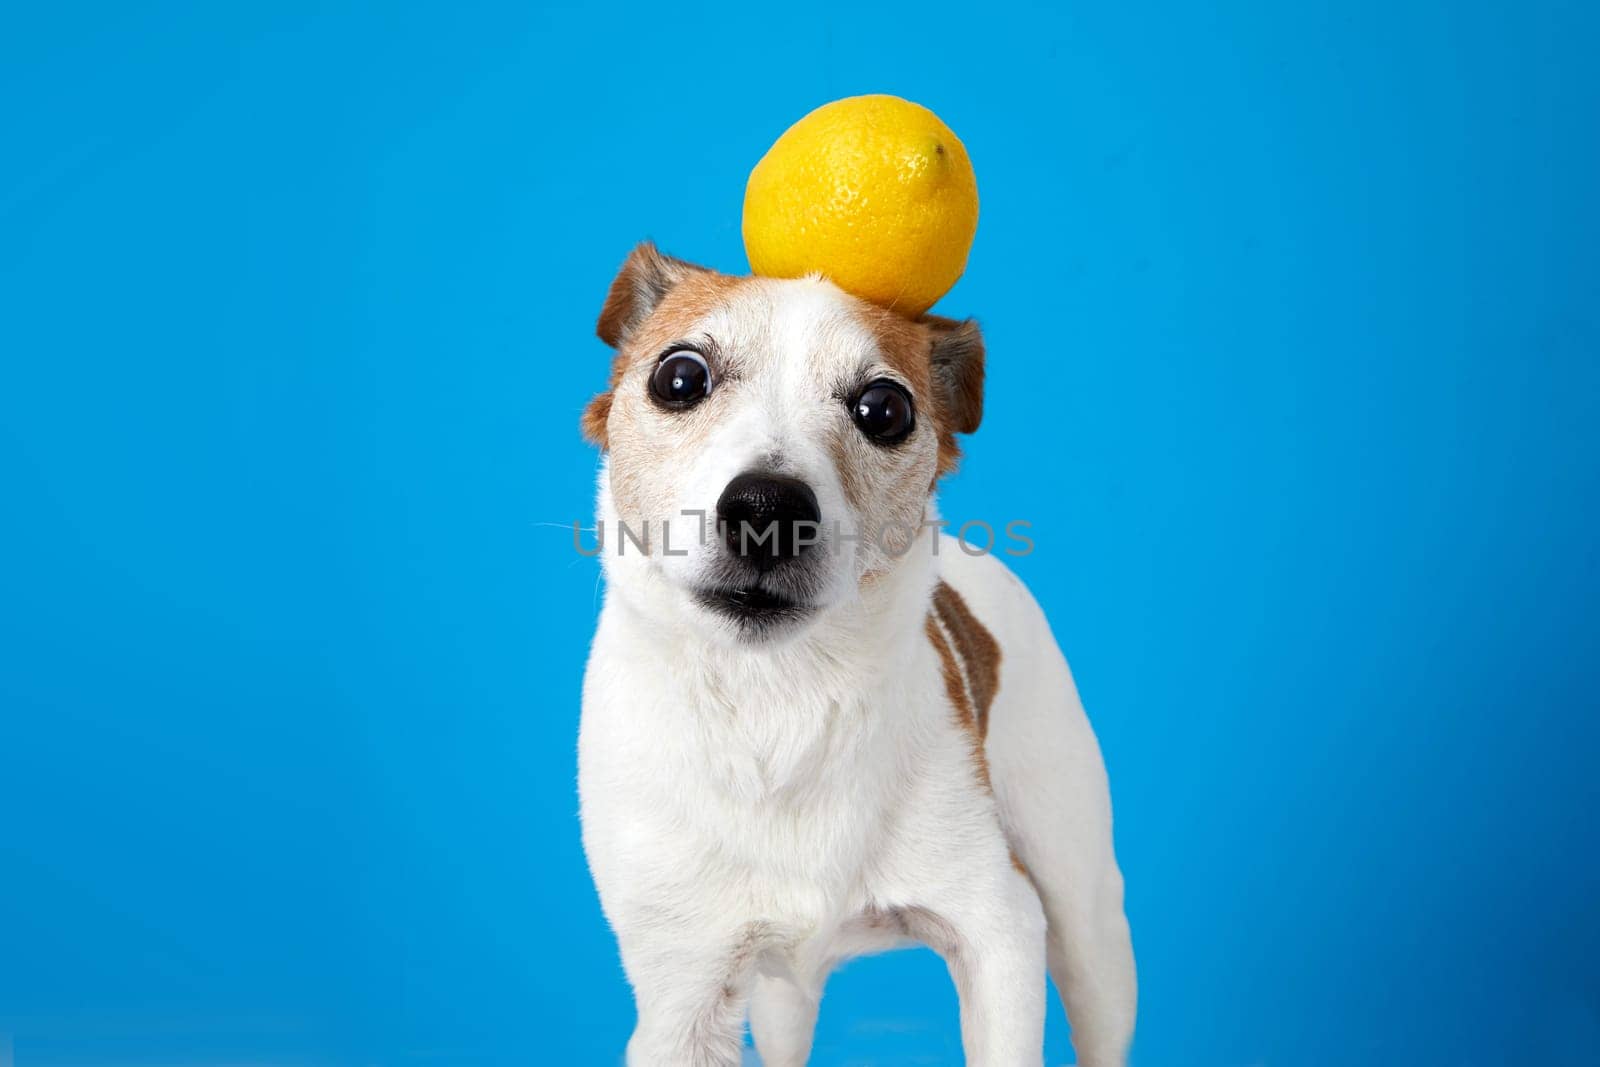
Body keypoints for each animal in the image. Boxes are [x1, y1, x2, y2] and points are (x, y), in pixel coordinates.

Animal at [582, 244, 1132, 1067]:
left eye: (885, 410)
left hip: (1088, 923)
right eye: (678, 378)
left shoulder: (1000, 931)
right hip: (779, 998)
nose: (768, 508)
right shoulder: (683, 999)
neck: (778, 703)